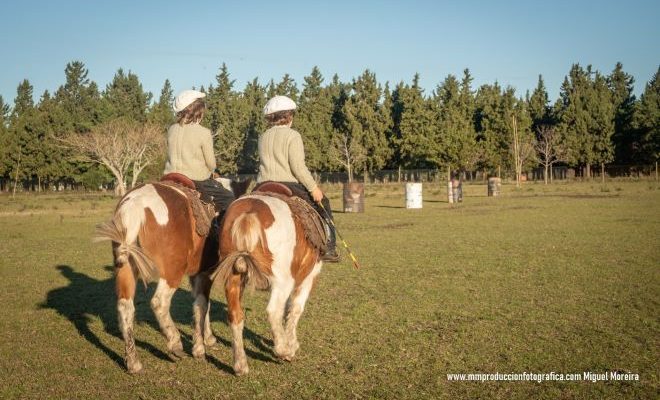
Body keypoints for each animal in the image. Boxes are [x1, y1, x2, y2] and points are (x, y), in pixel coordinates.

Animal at [92, 177, 248, 374]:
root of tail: (134, 205)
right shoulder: (205, 272)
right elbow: (203, 305)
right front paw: (200, 347)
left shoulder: (198, 274)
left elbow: (201, 305)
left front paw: (207, 338)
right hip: (173, 271)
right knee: (159, 302)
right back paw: (175, 344)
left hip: (126, 267)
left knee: (125, 307)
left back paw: (133, 363)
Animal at [215, 183, 326, 376]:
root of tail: (248, 214)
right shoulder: (309, 278)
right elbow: (295, 309)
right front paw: (292, 344)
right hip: (282, 282)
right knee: (273, 311)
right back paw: (283, 351)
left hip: (233, 278)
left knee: (235, 316)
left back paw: (240, 366)